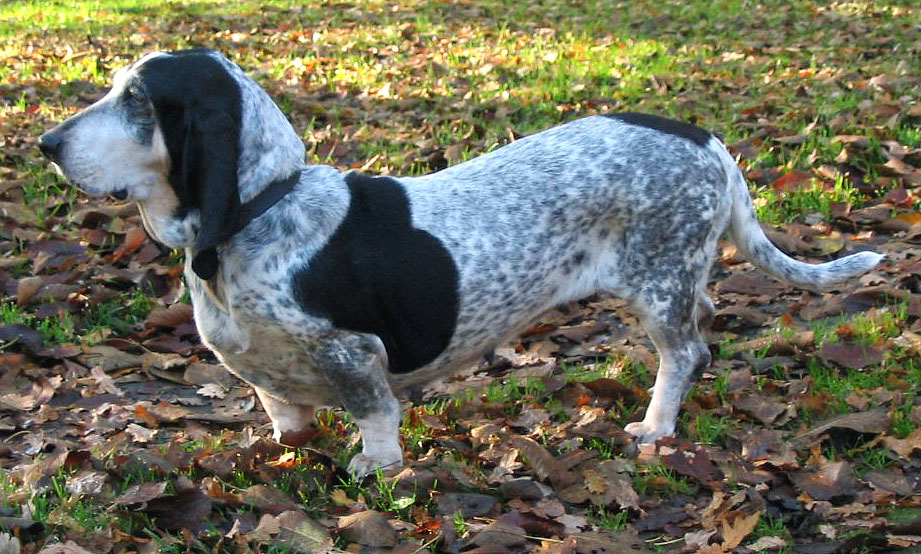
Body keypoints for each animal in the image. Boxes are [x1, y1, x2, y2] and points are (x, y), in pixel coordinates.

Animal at [37, 48, 884, 474]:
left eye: (139, 101)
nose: (45, 144)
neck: (263, 209)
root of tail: (706, 143)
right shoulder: (267, 377)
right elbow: (284, 417)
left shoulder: (355, 353)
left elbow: (375, 420)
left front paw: (373, 473)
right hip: (675, 278)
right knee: (705, 317)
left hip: (656, 285)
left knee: (685, 354)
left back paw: (653, 425)